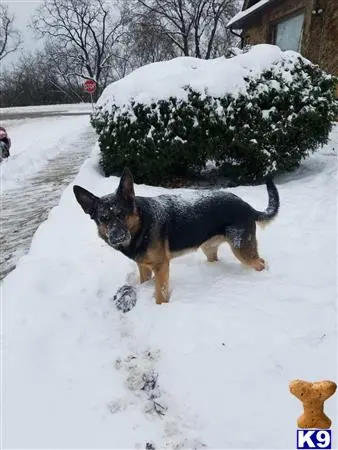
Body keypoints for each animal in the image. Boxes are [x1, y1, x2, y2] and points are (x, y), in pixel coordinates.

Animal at [74, 170, 280, 306]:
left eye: (122, 214)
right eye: (104, 219)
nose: (117, 237)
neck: (142, 225)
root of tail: (247, 206)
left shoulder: (161, 267)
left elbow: (160, 293)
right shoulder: (144, 267)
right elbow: (144, 281)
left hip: (241, 250)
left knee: (260, 262)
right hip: (209, 249)